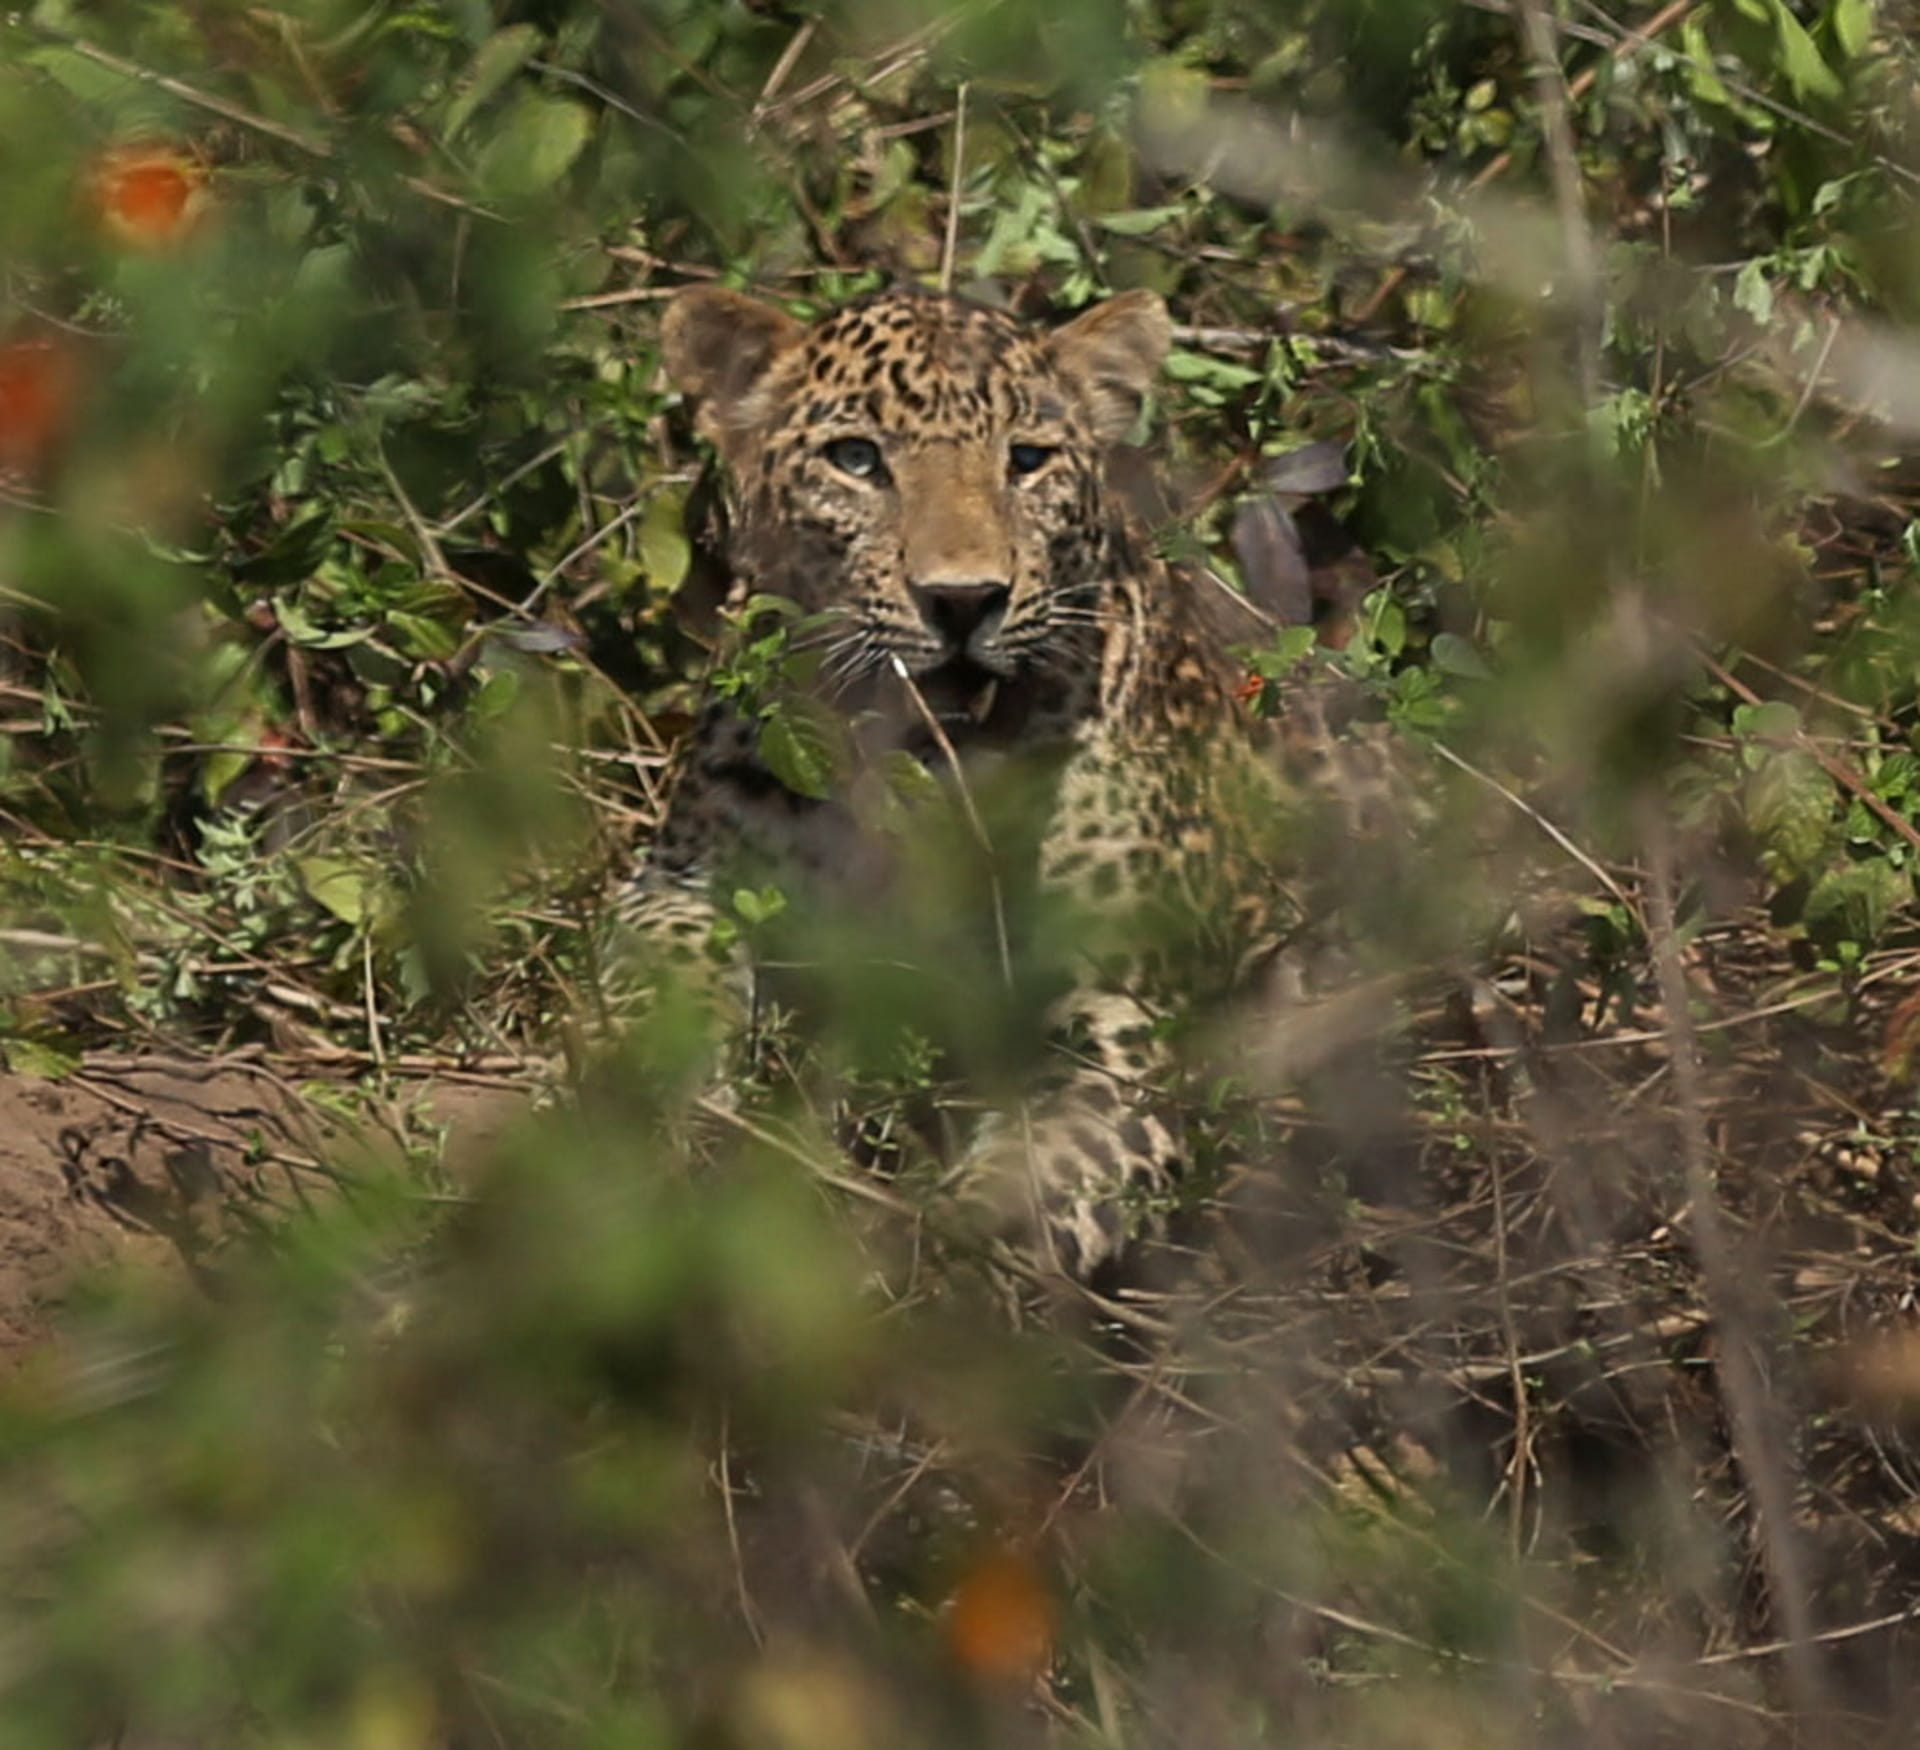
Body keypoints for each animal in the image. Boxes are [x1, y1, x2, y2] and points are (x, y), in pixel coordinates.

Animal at [608, 283, 1286, 1282]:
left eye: (1028, 461)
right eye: (857, 459)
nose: (965, 601)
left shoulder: (1121, 1007)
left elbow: (1052, 1162)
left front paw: (935, 1255)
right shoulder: (680, 881)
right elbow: (668, 975)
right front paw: (674, 1101)